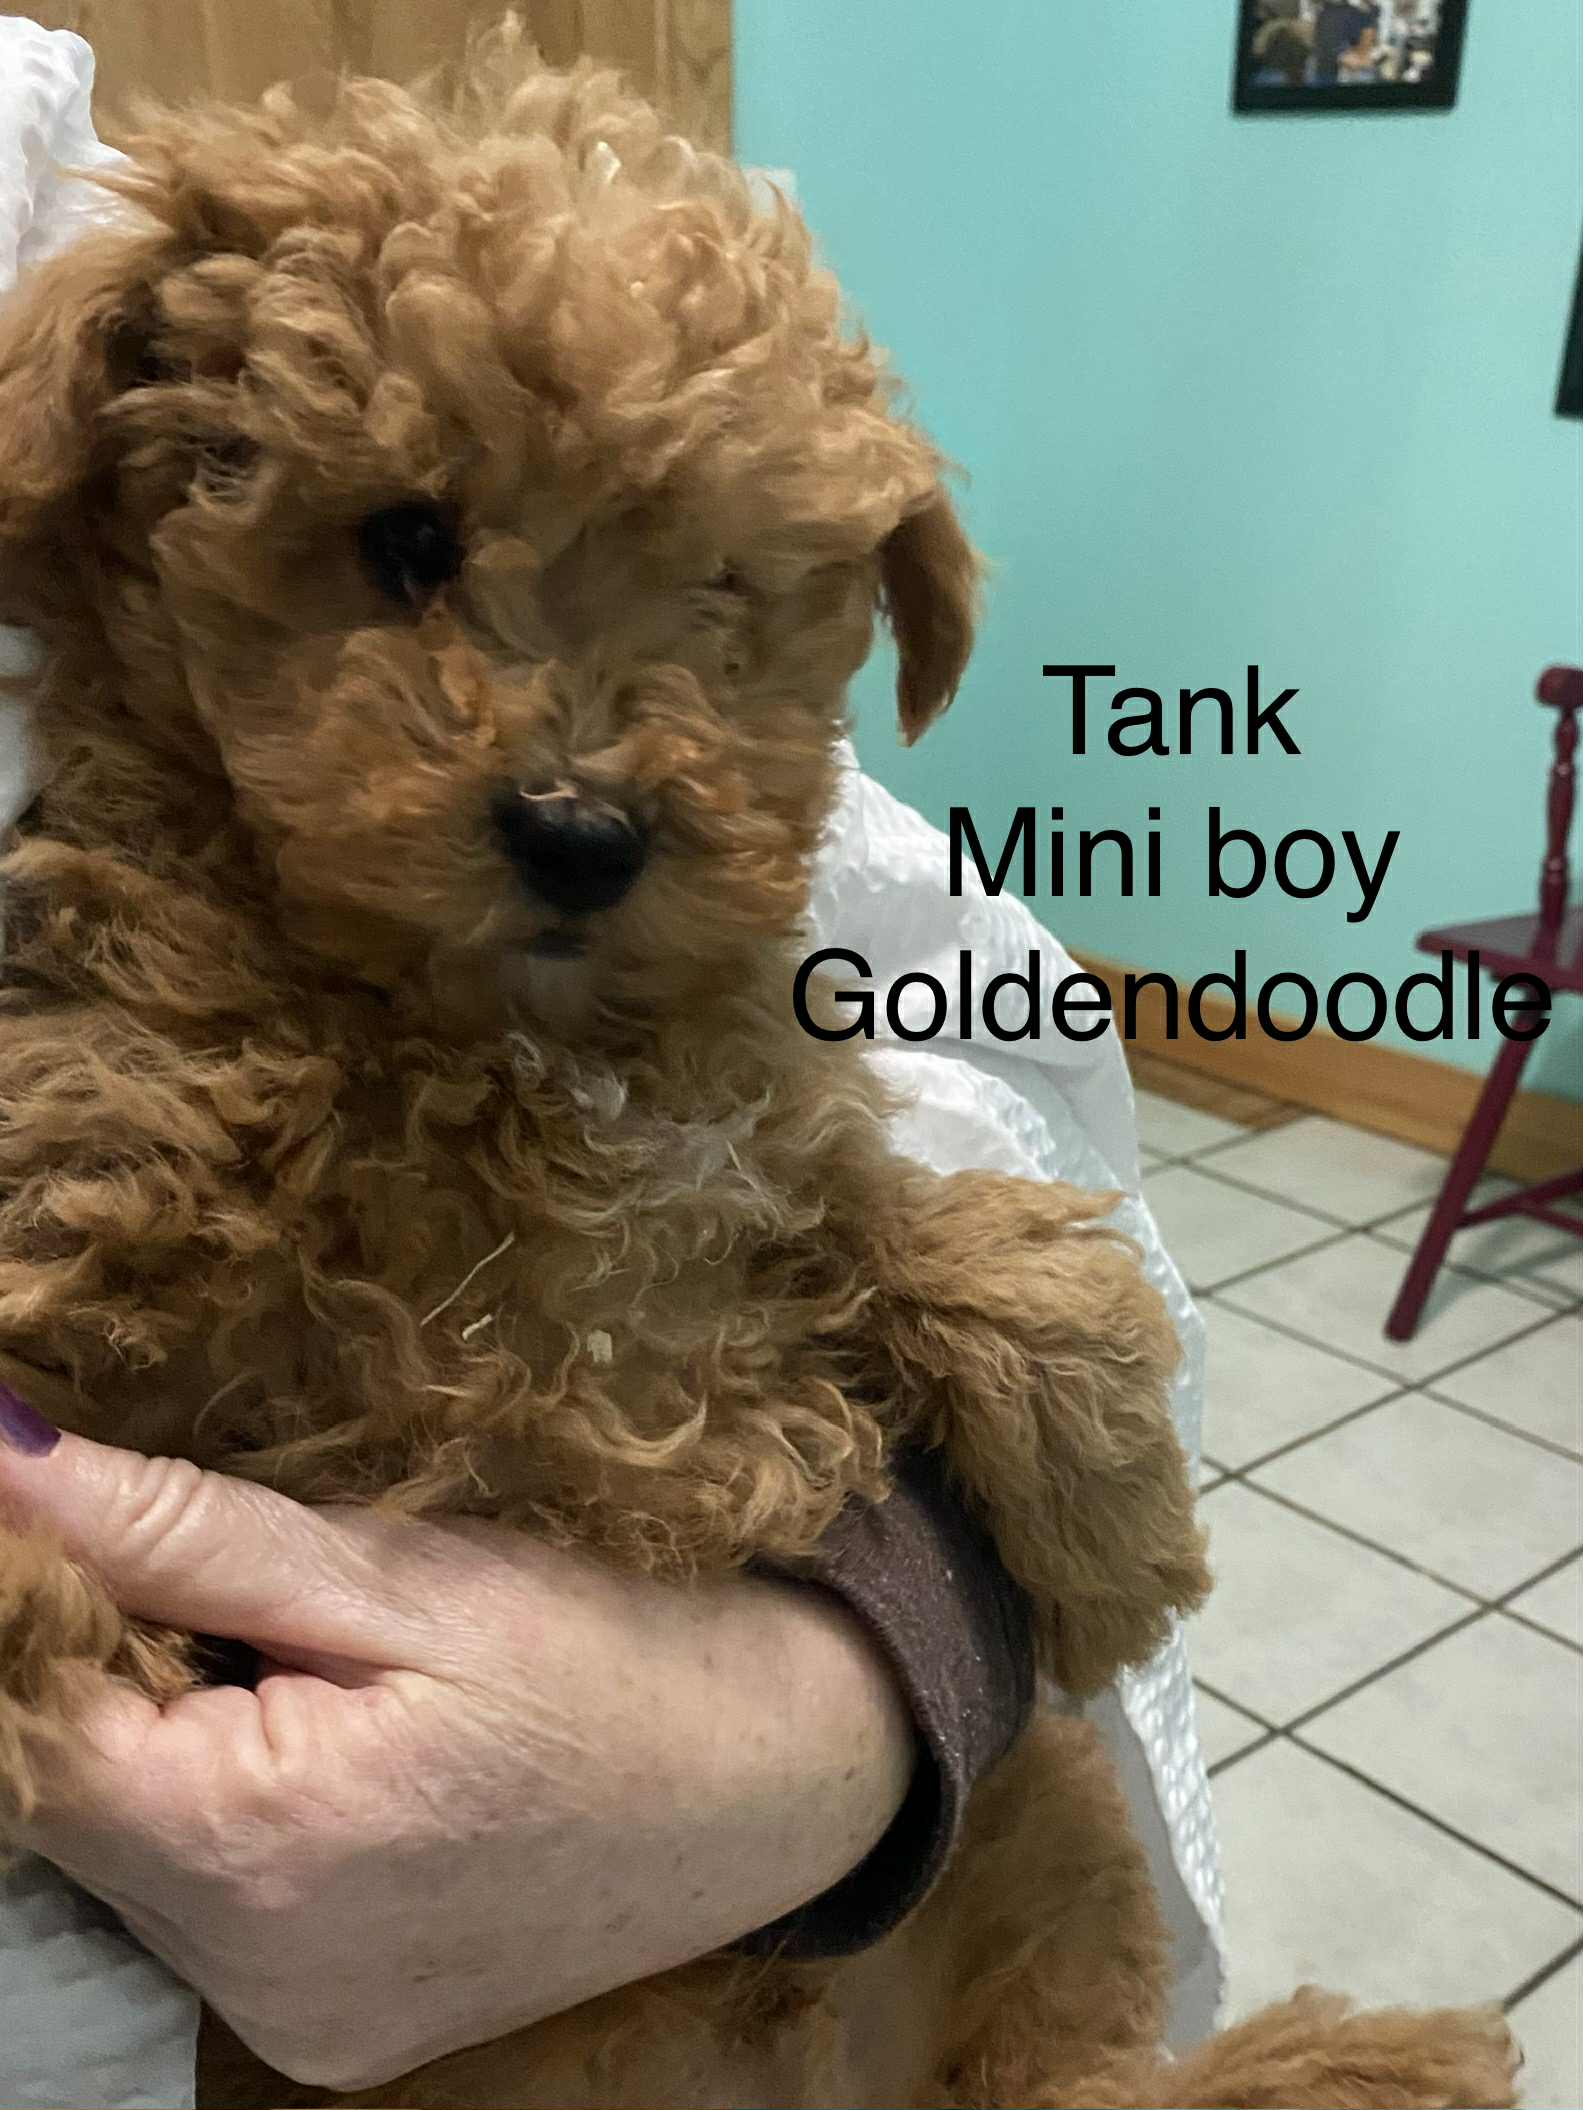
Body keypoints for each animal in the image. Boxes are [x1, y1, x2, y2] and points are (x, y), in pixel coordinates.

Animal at [0, 33, 1518, 2108]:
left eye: (725, 585)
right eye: (405, 539)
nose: (582, 832)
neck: (496, 1039)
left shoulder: (766, 1138)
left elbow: (985, 1242)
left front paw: (1116, 1540)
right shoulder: (92, 1197)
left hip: (1047, 1820)